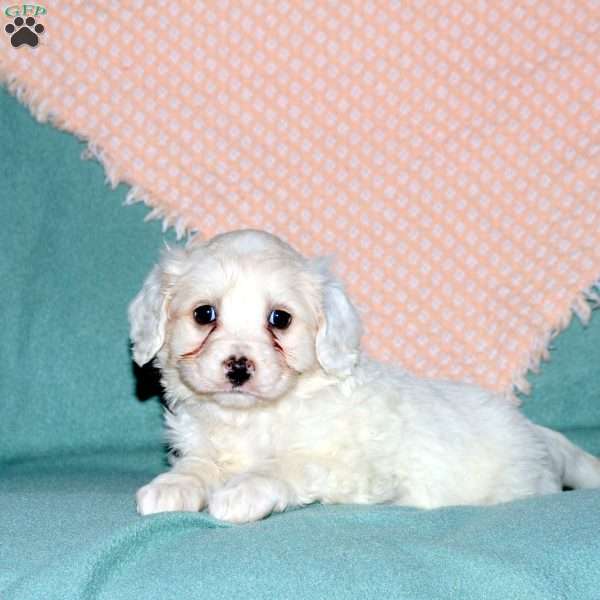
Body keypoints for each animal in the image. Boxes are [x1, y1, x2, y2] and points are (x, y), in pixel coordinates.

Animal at [130, 229, 600, 520]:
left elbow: (286, 464)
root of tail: (538, 435)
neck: (253, 418)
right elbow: (200, 464)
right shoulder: (205, 444)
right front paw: (173, 485)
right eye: (204, 314)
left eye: (280, 319)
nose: (239, 367)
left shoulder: (348, 465)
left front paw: (242, 490)